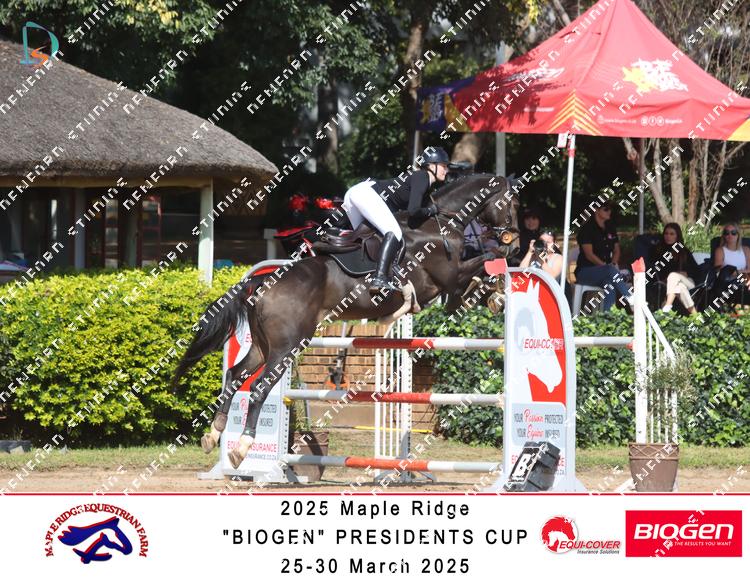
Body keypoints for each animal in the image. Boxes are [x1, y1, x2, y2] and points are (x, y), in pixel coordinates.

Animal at [172, 174, 519, 468]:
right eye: (512, 204)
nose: (514, 241)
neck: (439, 223)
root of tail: (261, 283)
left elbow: (480, 272)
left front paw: (496, 296)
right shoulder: (450, 278)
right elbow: (486, 262)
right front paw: (497, 288)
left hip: (262, 346)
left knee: (234, 376)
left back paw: (213, 435)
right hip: (286, 347)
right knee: (258, 387)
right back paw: (241, 448)